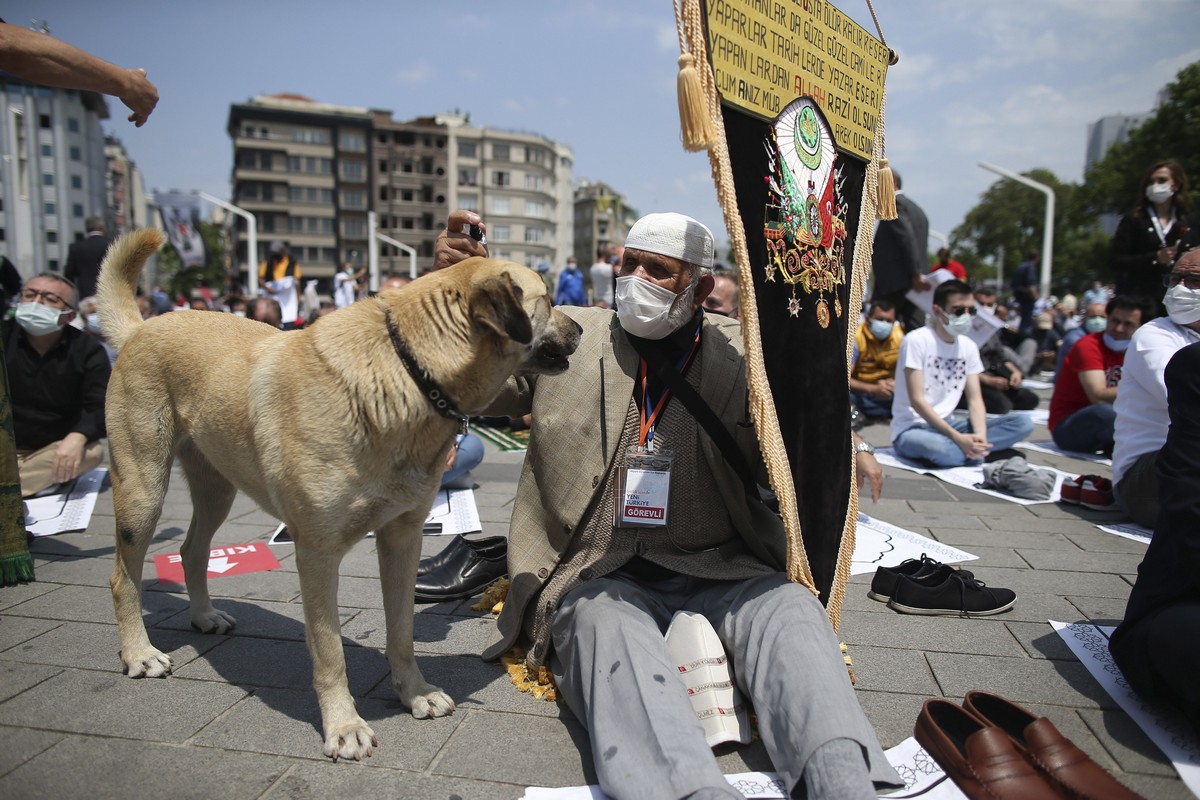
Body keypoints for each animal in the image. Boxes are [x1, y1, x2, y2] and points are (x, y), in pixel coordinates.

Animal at [98, 227, 576, 762]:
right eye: (549, 299)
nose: (582, 328)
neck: (407, 371)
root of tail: (140, 330)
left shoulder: (403, 539)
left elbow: (402, 631)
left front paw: (414, 693)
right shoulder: (317, 553)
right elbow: (329, 652)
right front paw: (343, 726)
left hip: (216, 485)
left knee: (191, 549)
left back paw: (203, 616)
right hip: (142, 489)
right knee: (123, 576)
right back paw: (139, 653)